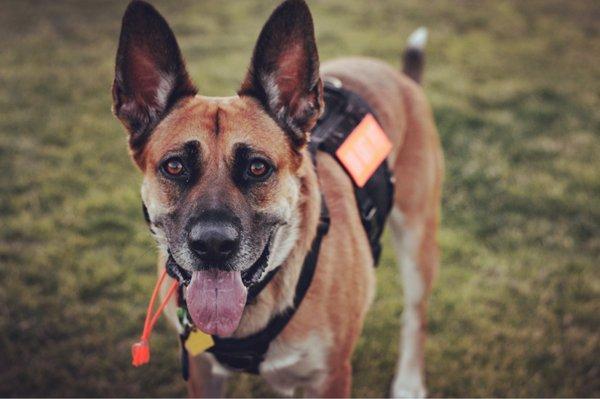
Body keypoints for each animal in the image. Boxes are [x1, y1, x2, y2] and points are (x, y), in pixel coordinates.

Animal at [112, 0, 442, 396]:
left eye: (257, 168)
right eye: (174, 166)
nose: (212, 245)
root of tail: (399, 76)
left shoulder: (331, 377)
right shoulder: (203, 372)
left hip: (417, 241)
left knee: (415, 315)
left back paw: (408, 382)